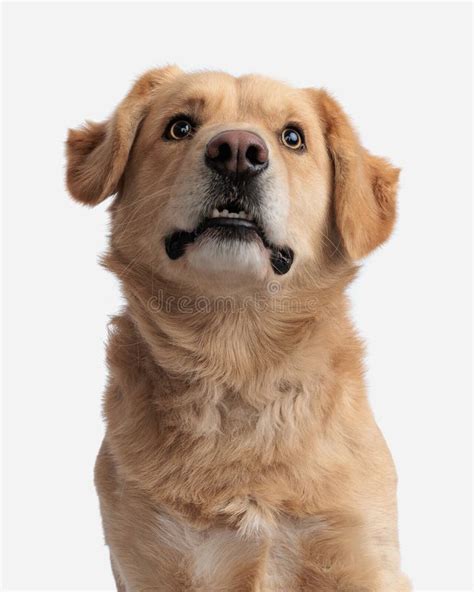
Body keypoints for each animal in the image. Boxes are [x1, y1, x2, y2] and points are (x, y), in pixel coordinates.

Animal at [66, 67, 412, 588]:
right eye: (179, 126)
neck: (236, 358)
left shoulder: (359, 551)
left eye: (293, 137)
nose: (236, 151)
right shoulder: (149, 558)